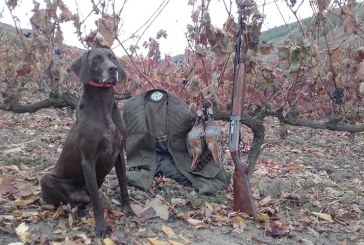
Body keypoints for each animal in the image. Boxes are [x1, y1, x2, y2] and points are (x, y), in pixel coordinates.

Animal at [40, 48, 134, 237]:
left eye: (112, 57)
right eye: (96, 59)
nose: (113, 69)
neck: (103, 105)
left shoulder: (119, 153)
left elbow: (123, 185)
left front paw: (128, 209)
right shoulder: (88, 160)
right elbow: (96, 201)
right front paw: (101, 227)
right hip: (46, 180)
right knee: (68, 202)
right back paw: (78, 211)